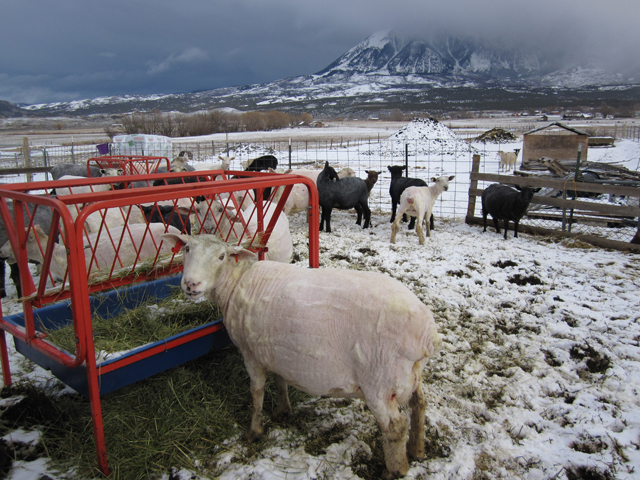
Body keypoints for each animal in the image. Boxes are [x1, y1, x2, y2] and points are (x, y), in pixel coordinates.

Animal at [162, 233, 442, 479]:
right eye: (187, 249)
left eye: (221, 256)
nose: (191, 285)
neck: (237, 281)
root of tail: (427, 333)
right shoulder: (275, 352)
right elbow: (280, 381)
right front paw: (282, 410)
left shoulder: (252, 355)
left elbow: (256, 393)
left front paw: (254, 431)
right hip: (410, 376)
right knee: (419, 404)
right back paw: (417, 450)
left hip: (380, 383)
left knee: (395, 428)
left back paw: (395, 470)